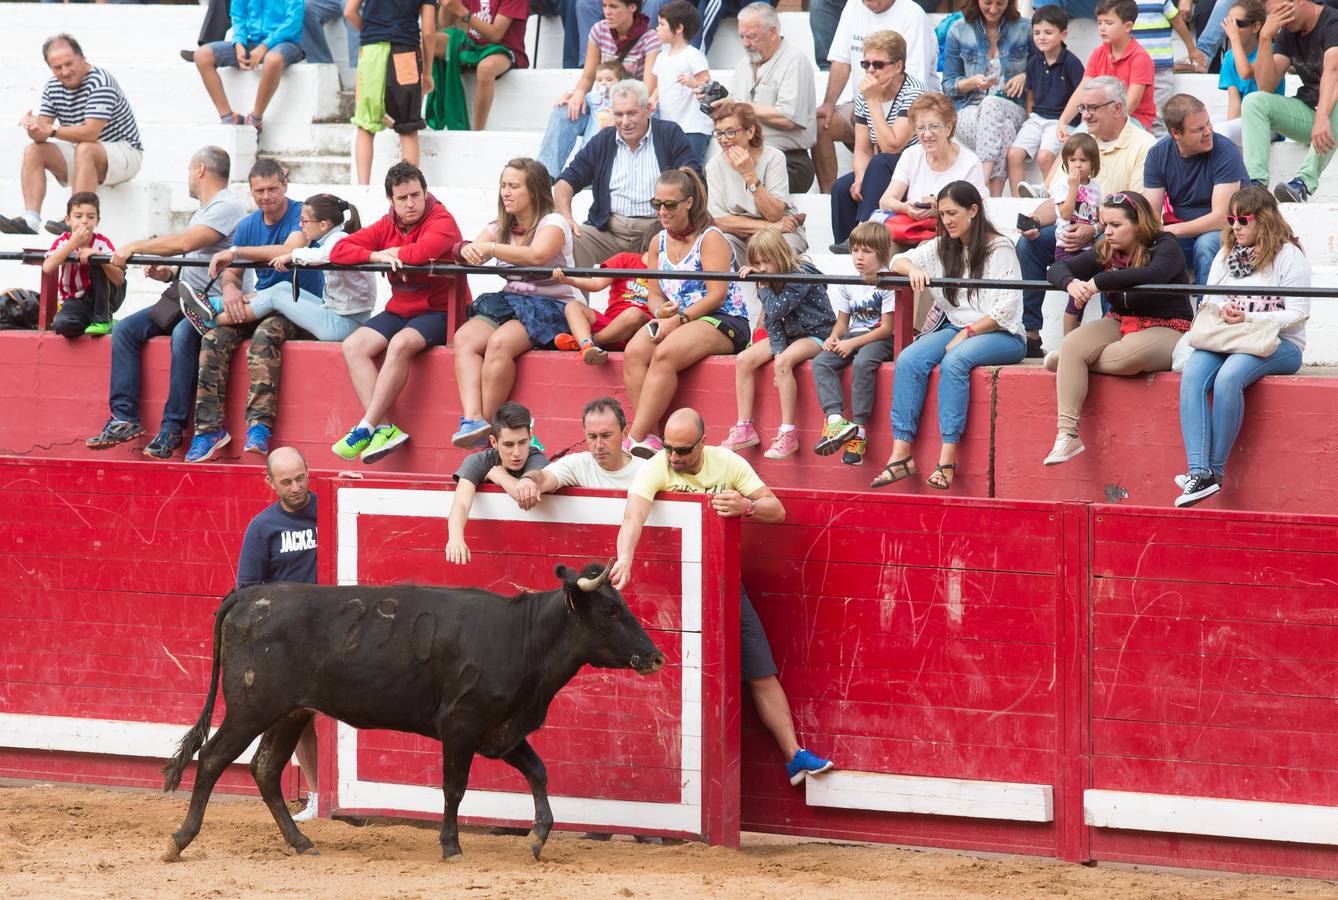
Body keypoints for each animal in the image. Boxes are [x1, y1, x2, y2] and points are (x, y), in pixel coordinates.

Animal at [161, 558, 663, 861]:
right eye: (609, 611)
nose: (655, 656)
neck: (519, 637)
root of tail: (247, 596)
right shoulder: (461, 726)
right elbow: (454, 788)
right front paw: (451, 846)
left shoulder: (501, 731)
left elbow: (538, 772)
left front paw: (539, 837)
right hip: (251, 707)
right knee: (213, 759)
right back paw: (179, 840)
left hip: (290, 712)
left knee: (265, 770)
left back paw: (302, 843)